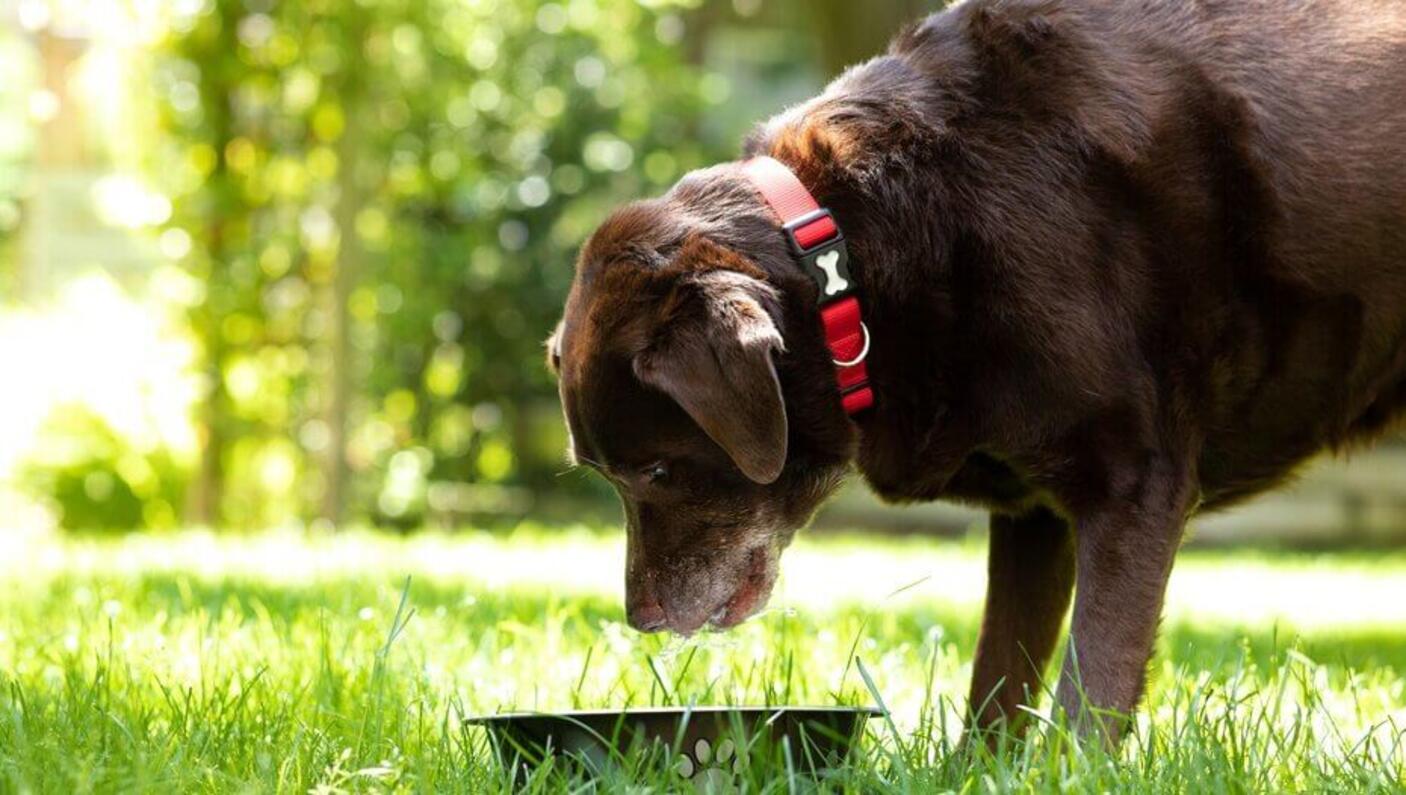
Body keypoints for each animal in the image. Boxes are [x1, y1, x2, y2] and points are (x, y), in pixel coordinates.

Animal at [545, 0, 1406, 737]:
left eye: (657, 471)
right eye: (605, 475)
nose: (641, 620)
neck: (853, 254)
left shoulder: (1135, 481)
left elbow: (1091, 682)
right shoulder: (1035, 512)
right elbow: (1000, 677)